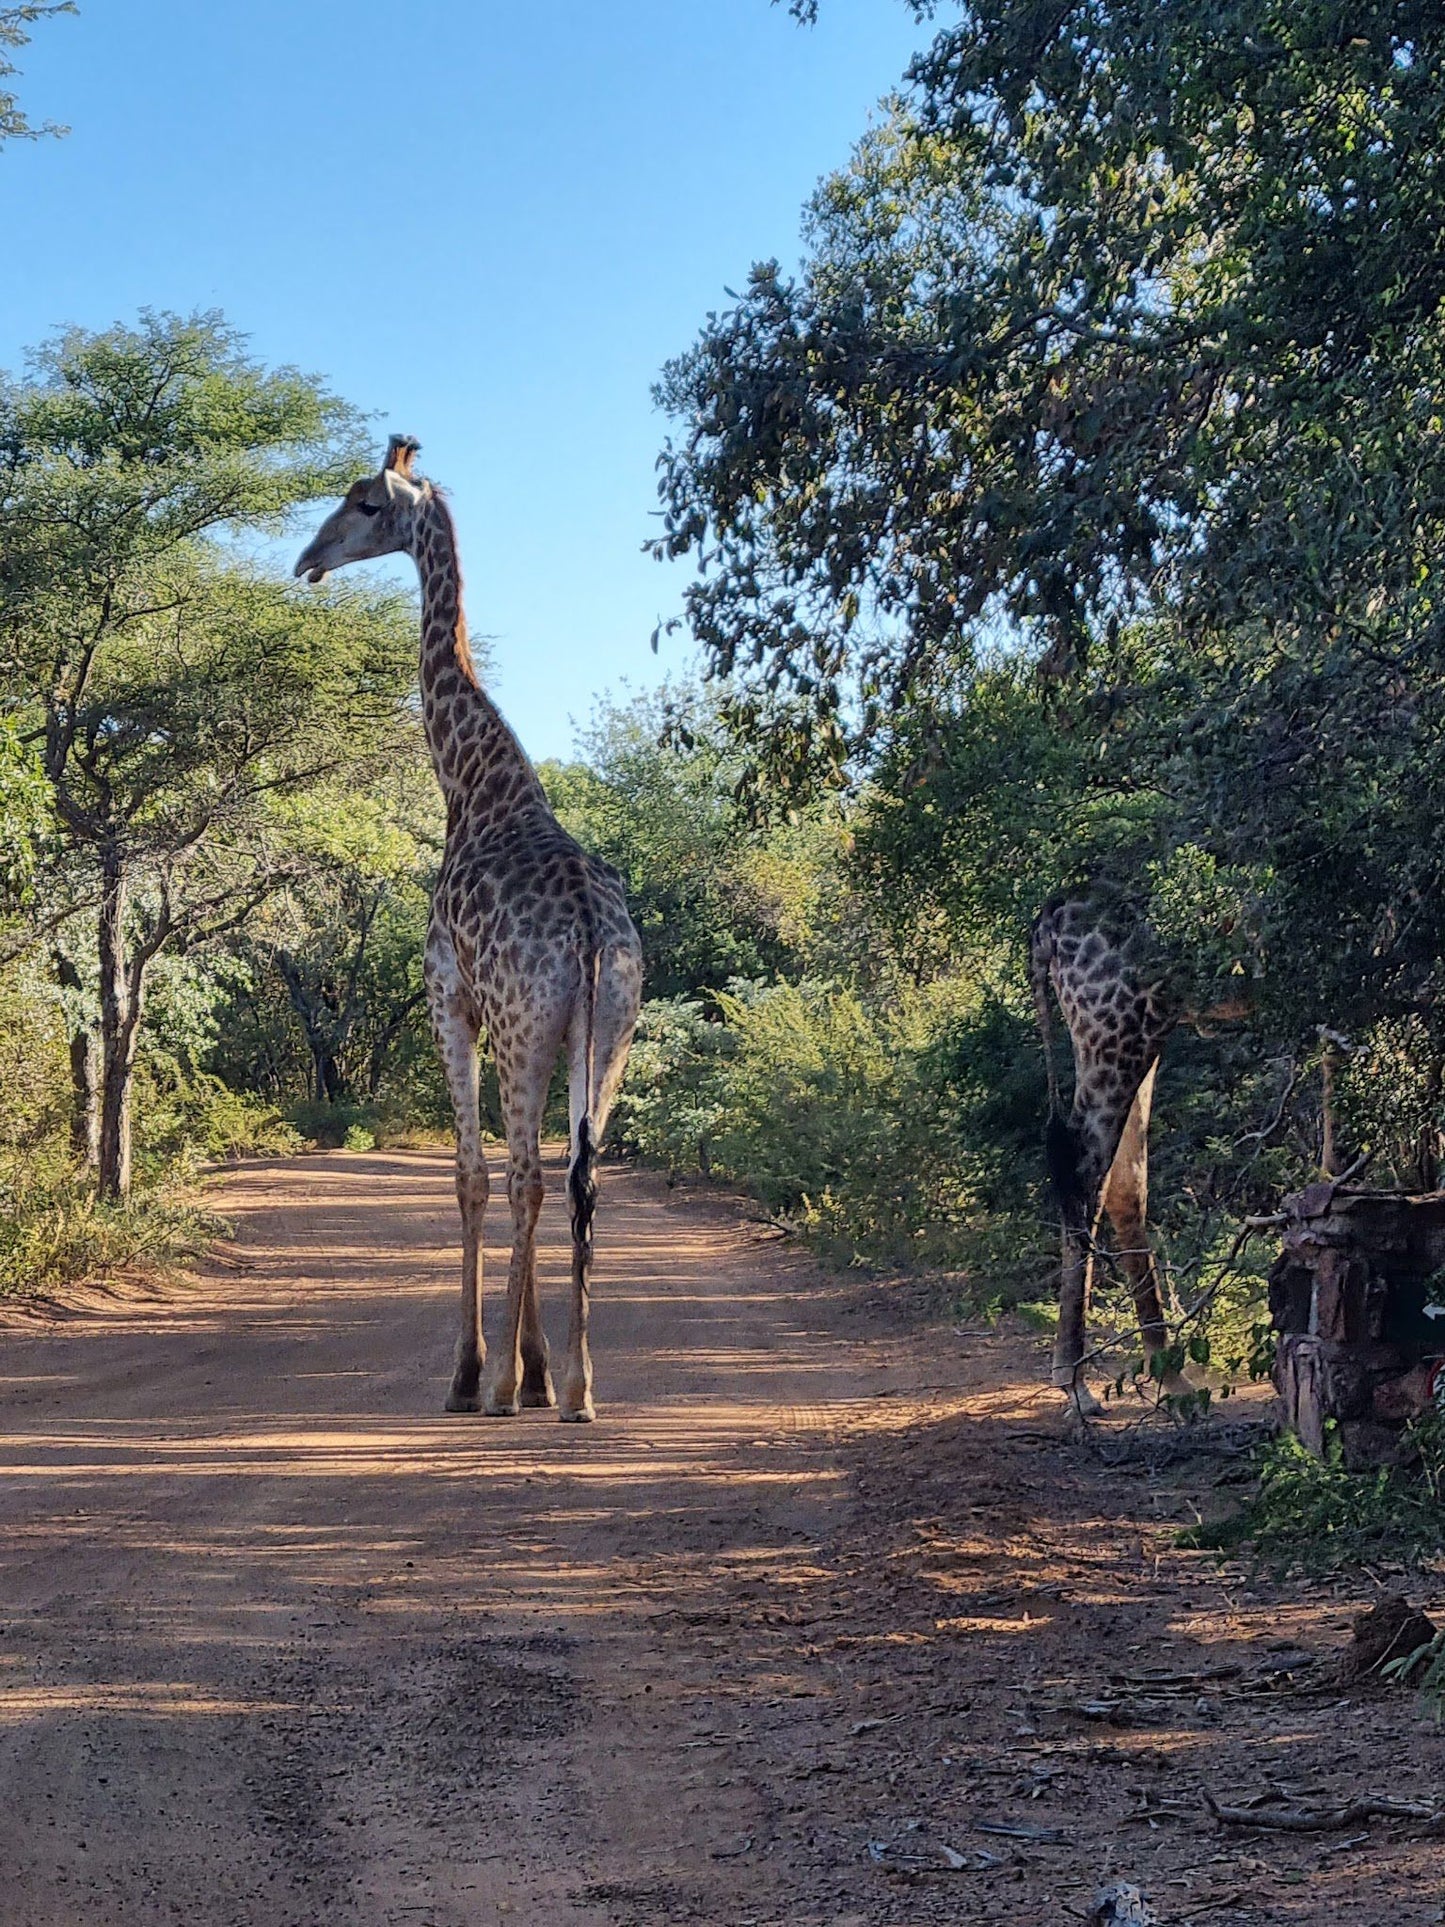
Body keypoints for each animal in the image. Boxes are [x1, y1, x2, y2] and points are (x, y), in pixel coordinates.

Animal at [296, 441, 643, 1433]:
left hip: (530, 1027)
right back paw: (581, 1388)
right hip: (607, 1034)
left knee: (528, 1175)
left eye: (364, 503)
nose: (307, 560)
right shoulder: (530, 1028)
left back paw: (498, 1392)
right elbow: (515, 1174)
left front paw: (477, 1372)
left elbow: (469, 1175)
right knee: (581, 1174)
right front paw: (533, 1372)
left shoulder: (450, 1000)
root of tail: (591, 933)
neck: (473, 783)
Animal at [1032, 897, 1202, 1418]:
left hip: (1134, 1031)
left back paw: (1168, 1372)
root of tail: (1047, 924)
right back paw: (1076, 1385)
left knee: (1121, 1182)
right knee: (1086, 1172)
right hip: (1116, 1031)